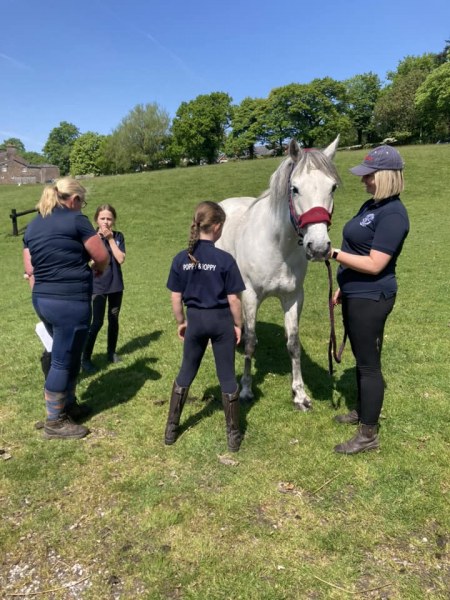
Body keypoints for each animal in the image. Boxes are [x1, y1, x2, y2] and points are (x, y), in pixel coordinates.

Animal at [216, 136, 340, 410]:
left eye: (333, 187)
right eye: (294, 188)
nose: (318, 247)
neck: (277, 245)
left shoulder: (293, 297)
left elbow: (293, 344)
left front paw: (300, 395)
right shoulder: (250, 295)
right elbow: (250, 344)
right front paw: (246, 390)